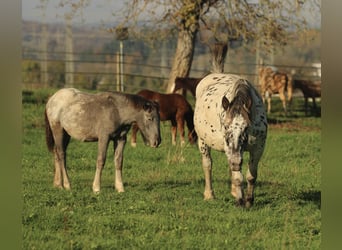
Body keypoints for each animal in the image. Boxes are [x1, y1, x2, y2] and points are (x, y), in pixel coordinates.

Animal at [194, 73, 268, 207]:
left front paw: (249, 200)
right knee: (208, 165)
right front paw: (239, 201)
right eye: (225, 126)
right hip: (202, 141)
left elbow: (251, 175)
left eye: (246, 126)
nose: (236, 162)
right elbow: (238, 176)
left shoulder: (258, 148)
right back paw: (209, 195)